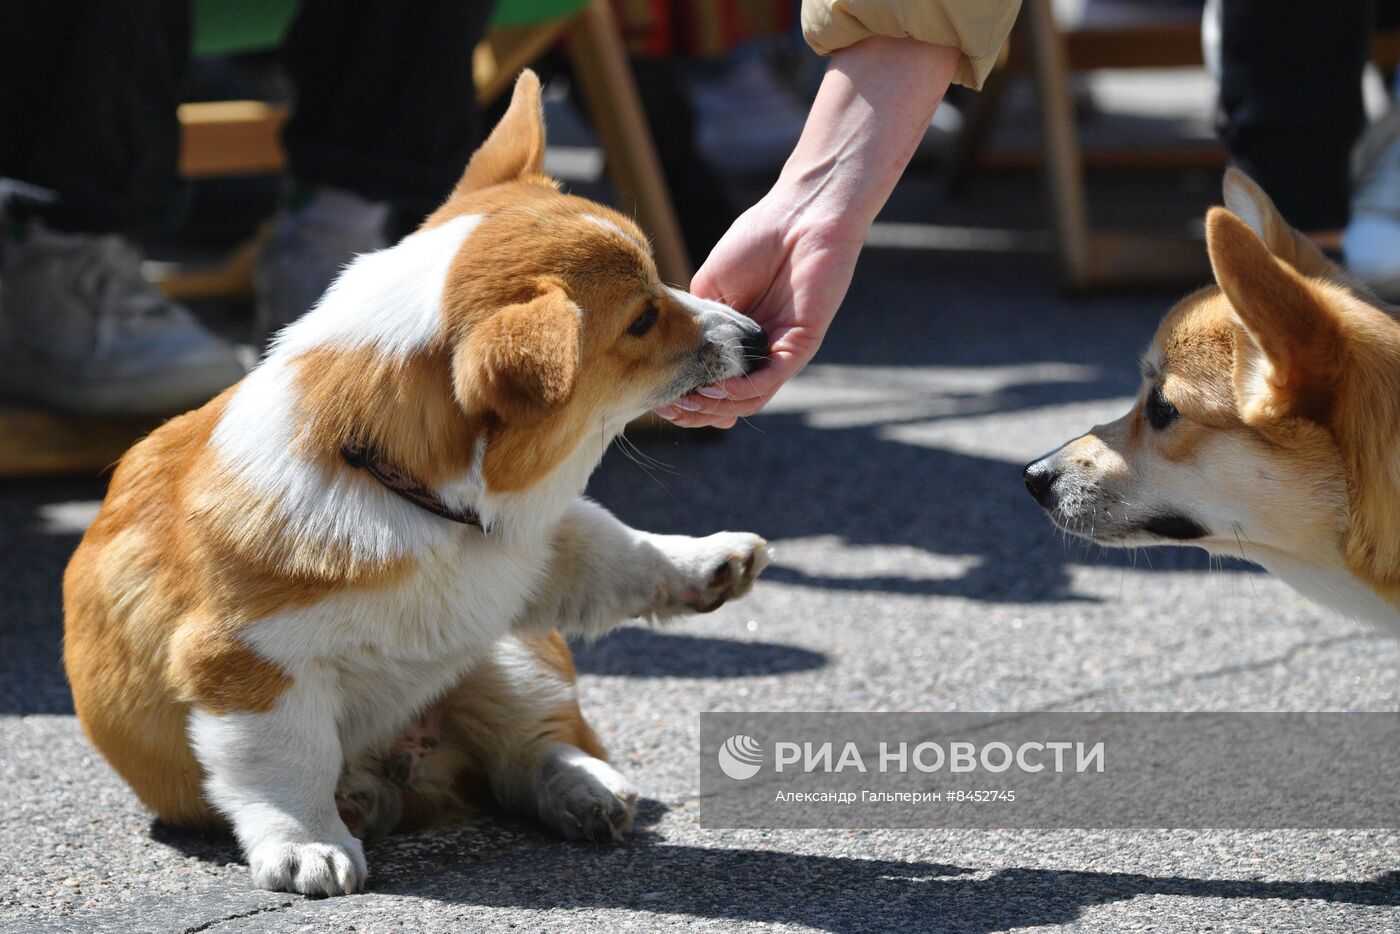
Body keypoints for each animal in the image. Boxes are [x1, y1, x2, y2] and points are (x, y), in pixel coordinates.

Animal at [60, 69, 772, 896]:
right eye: (642, 319)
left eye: (662, 284)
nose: (757, 338)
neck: (403, 489)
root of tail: (422, 766)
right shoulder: (248, 668)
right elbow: (287, 767)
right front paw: (308, 845)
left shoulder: (526, 557)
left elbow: (615, 550)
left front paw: (709, 559)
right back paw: (366, 800)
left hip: (508, 656)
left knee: (528, 746)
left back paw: (586, 785)